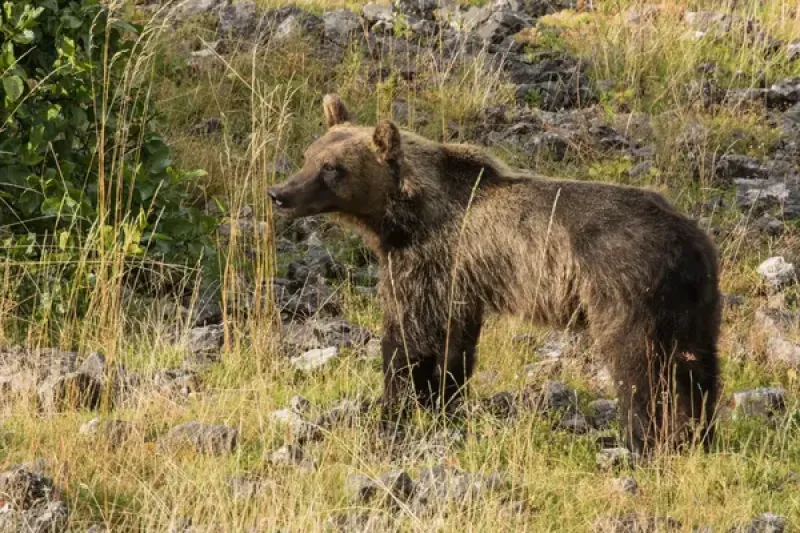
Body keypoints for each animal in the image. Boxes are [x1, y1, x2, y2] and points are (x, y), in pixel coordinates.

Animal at [268, 93, 721, 455]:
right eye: (309, 155)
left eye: (332, 168)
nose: (279, 193)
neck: (403, 218)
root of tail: (687, 237)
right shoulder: (458, 281)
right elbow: (452, 346)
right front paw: (441, 402)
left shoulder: (428, 262)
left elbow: (407, 338)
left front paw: (394, 407)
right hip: (693, 301)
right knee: (697, 367)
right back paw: (698, 435)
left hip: (624, 290)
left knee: (639, 366)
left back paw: (639, 440)